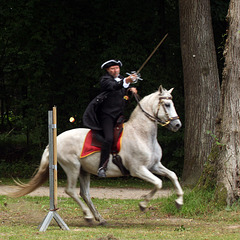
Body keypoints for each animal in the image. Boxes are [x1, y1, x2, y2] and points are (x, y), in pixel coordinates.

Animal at [7, 86, 184, 225]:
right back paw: (88, 216)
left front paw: (179, 201)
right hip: (72, 168)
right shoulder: (138, 170)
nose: (177, 125)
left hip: (84, 171)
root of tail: (55, 140)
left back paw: (99, 218)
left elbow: (172, 176)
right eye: (167, 104)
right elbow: (158, 183)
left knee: (84, 193)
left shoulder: (154, 166)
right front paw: (143, 204)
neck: (141, 133)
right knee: (71, 191)